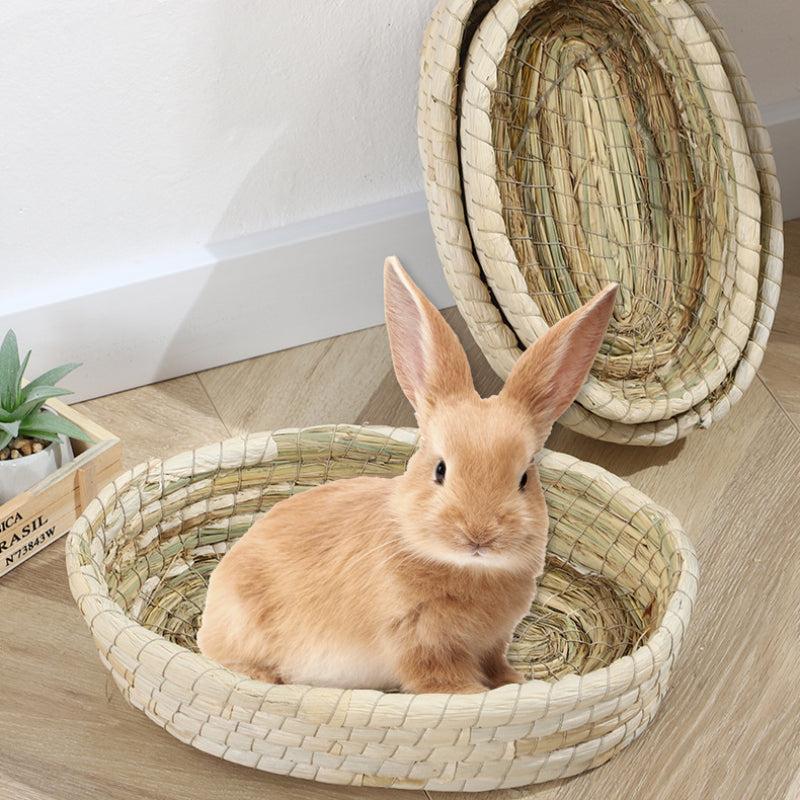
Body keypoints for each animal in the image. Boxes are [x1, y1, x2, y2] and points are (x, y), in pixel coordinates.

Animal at [197, 257, 617, 693]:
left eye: (524, 479)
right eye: (440, 469)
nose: (479, 534)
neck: (464, 566)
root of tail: (207, 622)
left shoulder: (492, 643)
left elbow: (496, 665)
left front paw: (516, 683)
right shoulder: (422, 642)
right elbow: (444, 682)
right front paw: (475, 694)